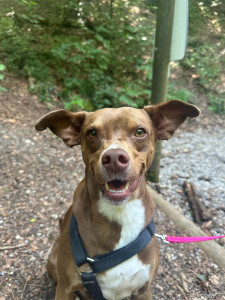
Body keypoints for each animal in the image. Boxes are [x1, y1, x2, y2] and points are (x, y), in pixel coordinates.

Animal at [35, 99, 200, 298]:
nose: (114, 157)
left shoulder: (144, 289)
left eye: (140, 132)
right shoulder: (66, 287)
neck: (121, 213)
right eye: (92, 133)